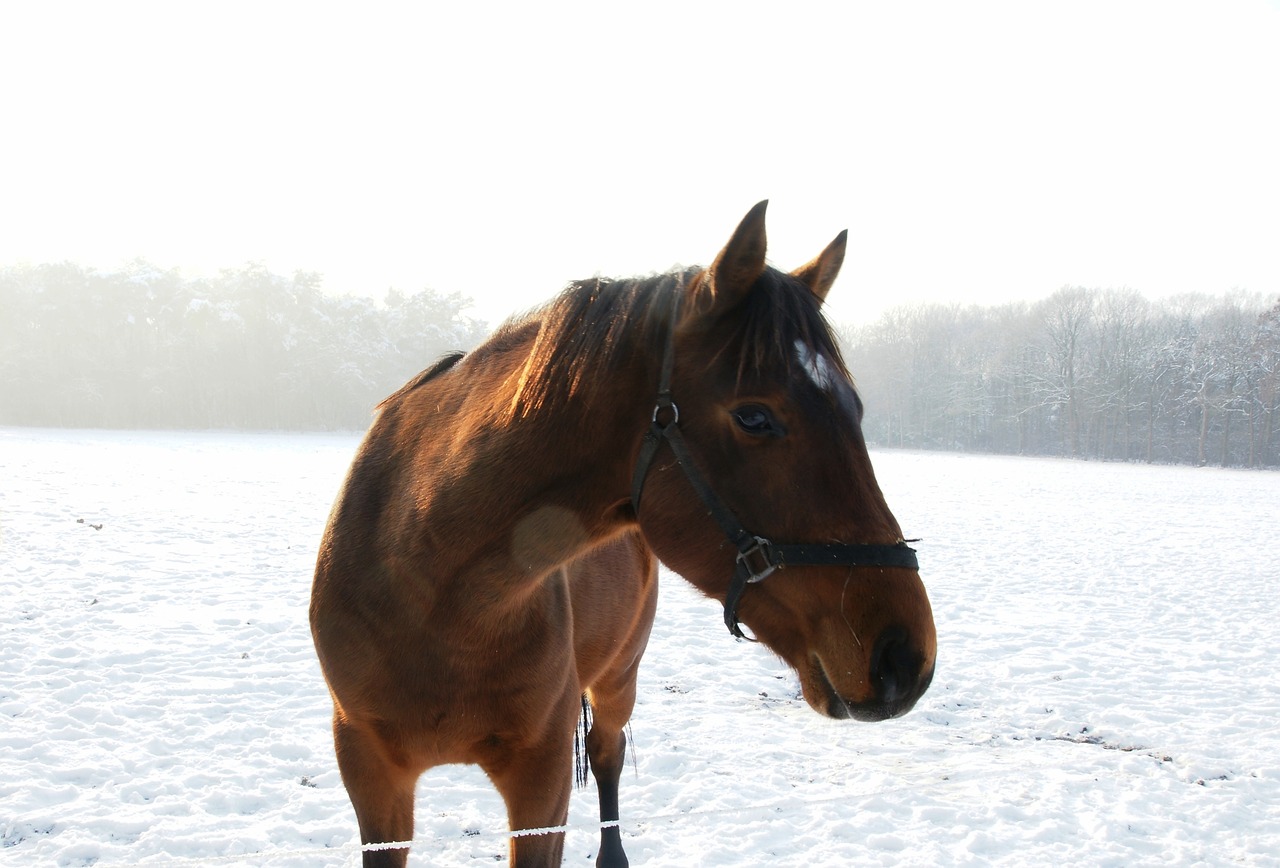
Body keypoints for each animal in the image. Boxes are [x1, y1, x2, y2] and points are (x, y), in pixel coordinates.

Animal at [305, 200, 936, 865]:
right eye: (754, 416)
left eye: (856, 411)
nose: (904, 654)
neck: (430, 590)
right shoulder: (371, 775)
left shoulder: (543, 779)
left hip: (618, 680)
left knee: (610, 758)